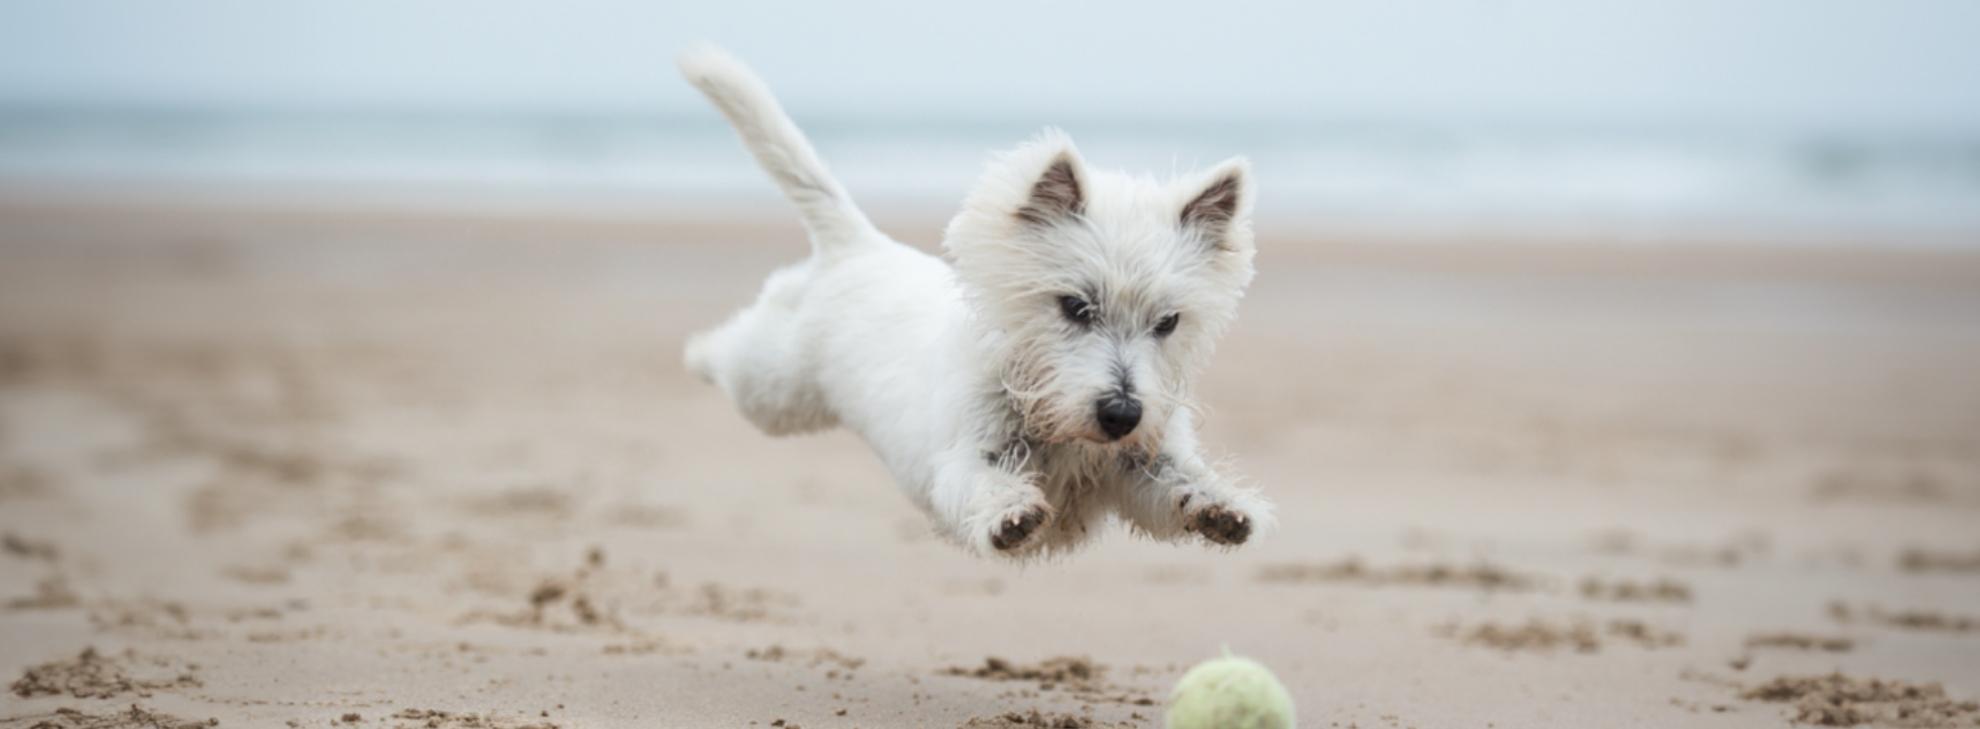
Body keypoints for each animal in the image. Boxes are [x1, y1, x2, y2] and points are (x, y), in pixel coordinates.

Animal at [677, 47, 1267, 558]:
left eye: (1167, 322)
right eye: (1075, 307)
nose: (1121, 413)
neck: (1050, 417)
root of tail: (862, 244)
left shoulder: (1140, 464)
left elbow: (1176, 483)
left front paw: (1223, 507)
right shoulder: (965, 457)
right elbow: (983, 483)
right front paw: (1011, 515)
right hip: (774, 389)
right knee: (734, 351)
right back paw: (696, 352)